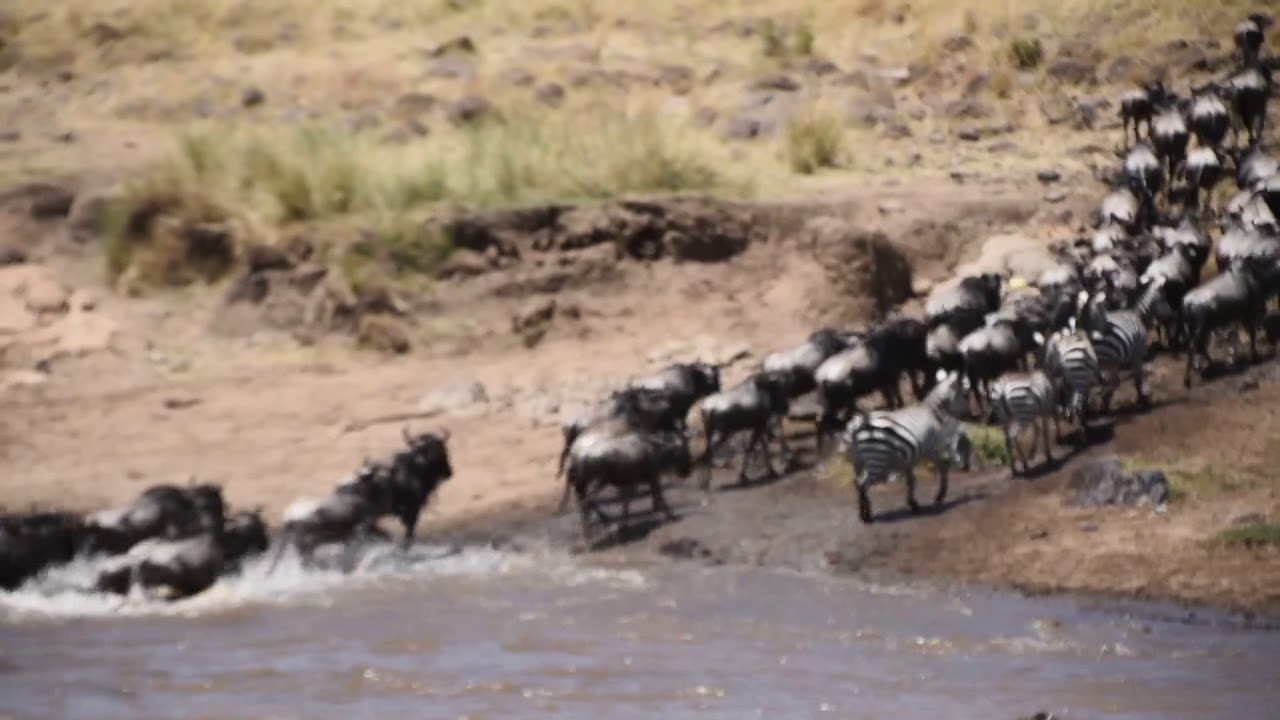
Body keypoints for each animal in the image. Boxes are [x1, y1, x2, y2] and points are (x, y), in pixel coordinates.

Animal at [838, 370, 973, 524]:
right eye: (965, 394)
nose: (969, 414)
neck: (932, 412)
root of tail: (856, 426)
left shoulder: (908, 458)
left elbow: (911, 481)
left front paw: (913, 504)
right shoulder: (930, 449)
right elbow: (943, 466)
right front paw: (940, 496)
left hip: (857, 462)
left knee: (857, 483)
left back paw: (862, 513)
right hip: (876, 460)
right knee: (863, 485)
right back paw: (867, 516)